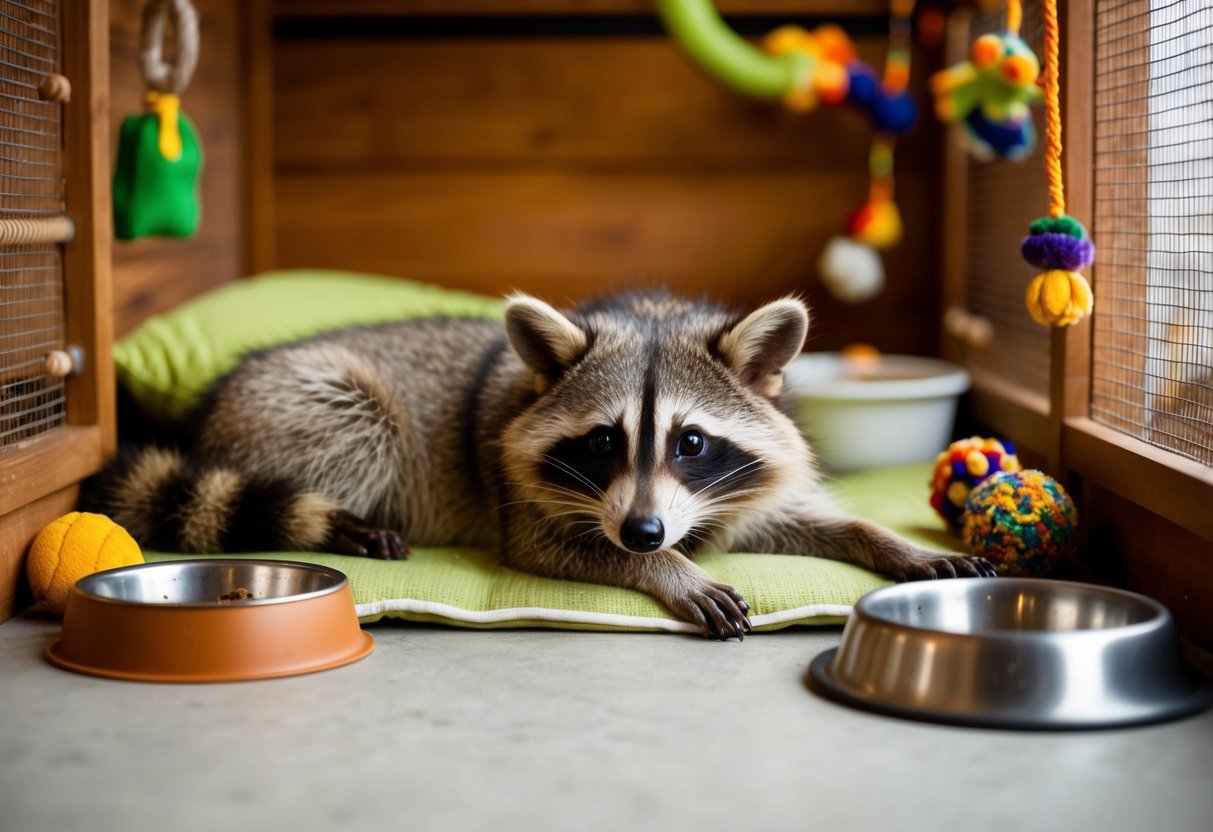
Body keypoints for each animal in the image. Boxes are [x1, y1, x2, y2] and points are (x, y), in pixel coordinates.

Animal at [83, 291, 995, 639]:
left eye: (690, 443)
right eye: (601, 443)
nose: (644, 533)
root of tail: (205, 414)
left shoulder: (729, 491)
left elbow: (804, 518)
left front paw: (893, 544)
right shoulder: (528, 508)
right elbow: (558, 545)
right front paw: (666, 570)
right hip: (315, 403)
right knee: (354, 427)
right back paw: (340, 522)